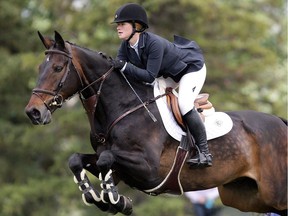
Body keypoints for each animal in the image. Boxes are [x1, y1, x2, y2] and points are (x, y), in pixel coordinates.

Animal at [25, 31, 288, 215]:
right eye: (39, 67)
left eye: (58, 68)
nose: (33, 112)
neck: (123, 107)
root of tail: (280, 122)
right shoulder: (117, 168)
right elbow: (78, 160)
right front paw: (101, 198)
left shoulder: (148, 169)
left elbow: (106, 158)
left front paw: (115, 200)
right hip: (245, 195)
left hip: (274, 193)